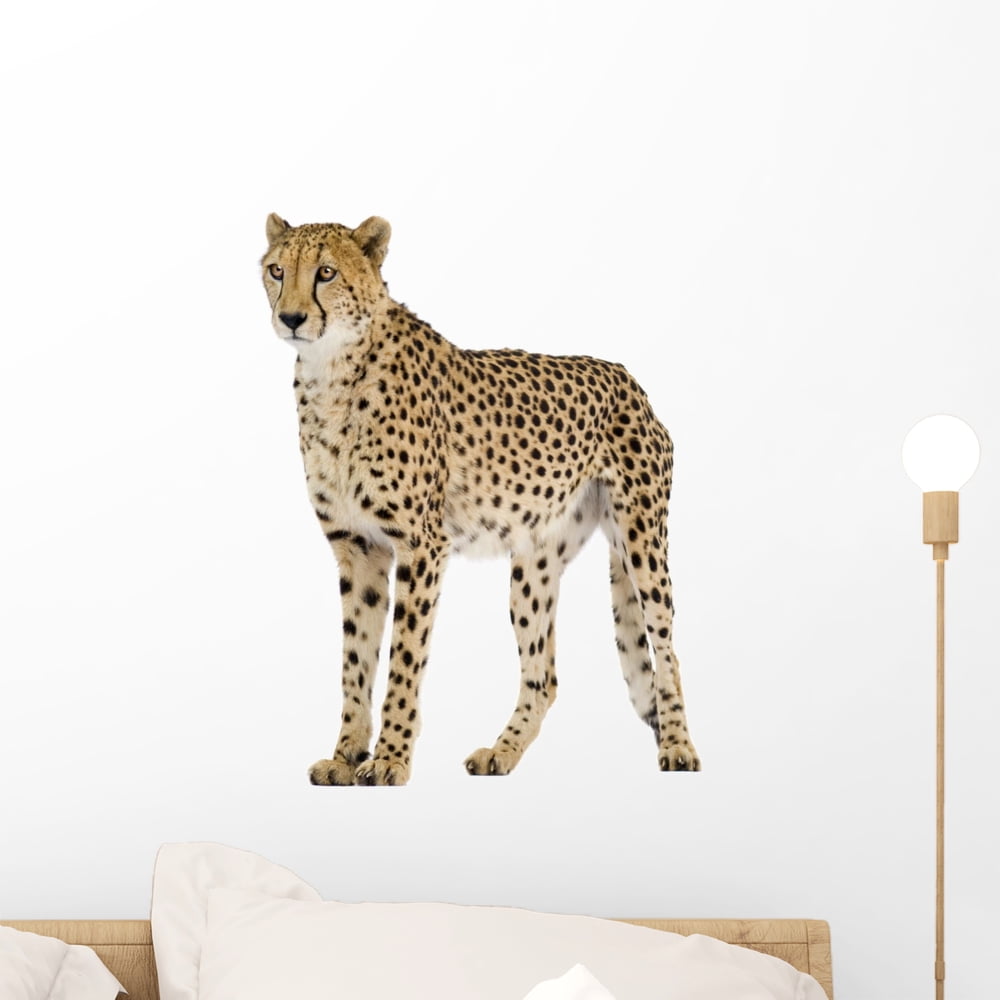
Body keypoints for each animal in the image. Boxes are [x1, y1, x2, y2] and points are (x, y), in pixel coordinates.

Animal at [261, 213, 700, 785]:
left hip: (644, 543)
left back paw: (679, 747)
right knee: (543, 675)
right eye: (276, 270)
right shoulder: (357, 548)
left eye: (327, 273)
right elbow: (355, 661)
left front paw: (390, 758)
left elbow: (403, 659)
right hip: (534, 564)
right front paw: (345, 755)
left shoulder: (421, 546)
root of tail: (626, 376)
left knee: (666, 649)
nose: (291, 317)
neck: (331, 369)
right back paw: (501, 752)